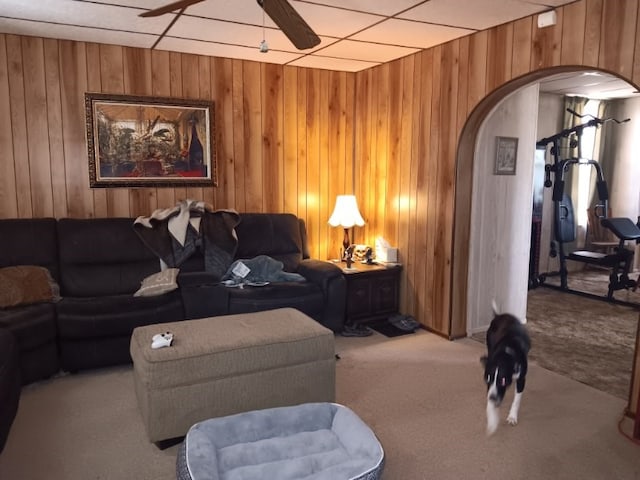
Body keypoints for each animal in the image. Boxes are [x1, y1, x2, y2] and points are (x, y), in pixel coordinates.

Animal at [480, 302, 528, 436]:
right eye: (487, 379)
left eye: (503, 381)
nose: (492, 398)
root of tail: (499, 315)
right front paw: (492, 421)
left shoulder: (521, 379)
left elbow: (517, 399)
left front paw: (512, 417)